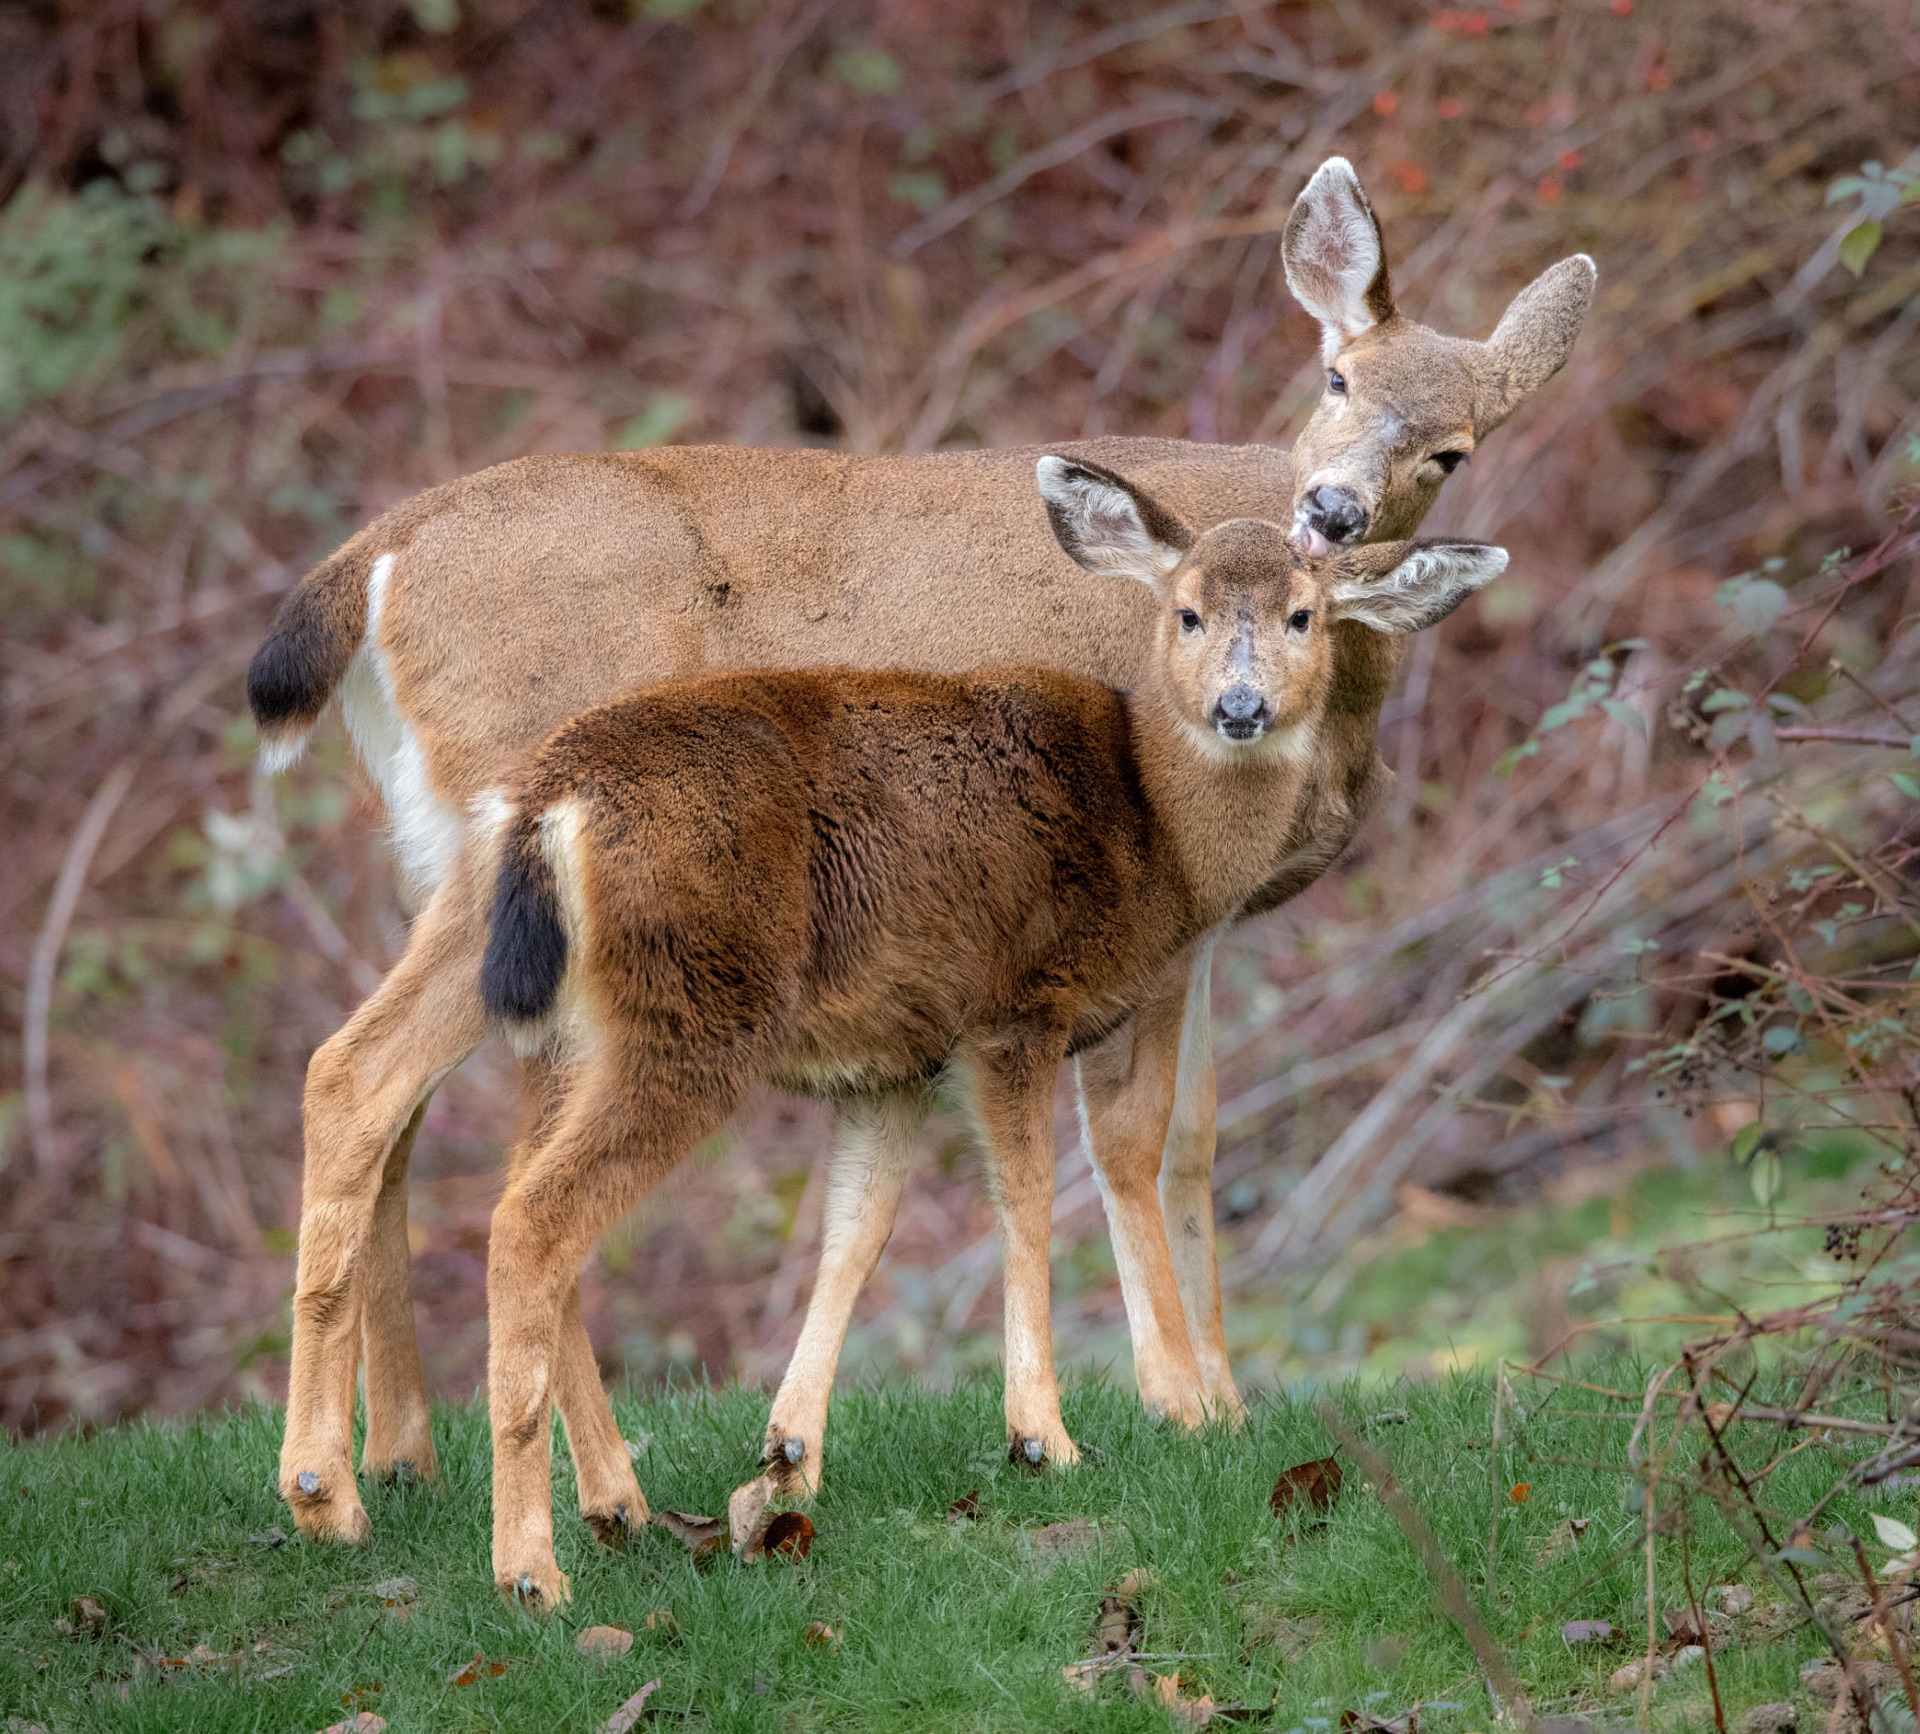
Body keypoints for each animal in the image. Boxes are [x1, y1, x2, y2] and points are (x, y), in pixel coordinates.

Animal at [464, 453, 1507, 1609]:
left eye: (1302, 615)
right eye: (1186, 611)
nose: (1242, 707)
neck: (1156, 832)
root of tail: (546, 807)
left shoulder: (891, 1063)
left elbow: (857, 1232)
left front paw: (789, 1458)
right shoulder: (1019, 1008)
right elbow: (1032, 1195)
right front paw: (1048, 1435)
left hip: (563, 1039)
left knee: (518, 1201)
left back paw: (615, 1507)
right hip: (691, 1016)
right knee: (534, 1221)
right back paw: (530, 1570)